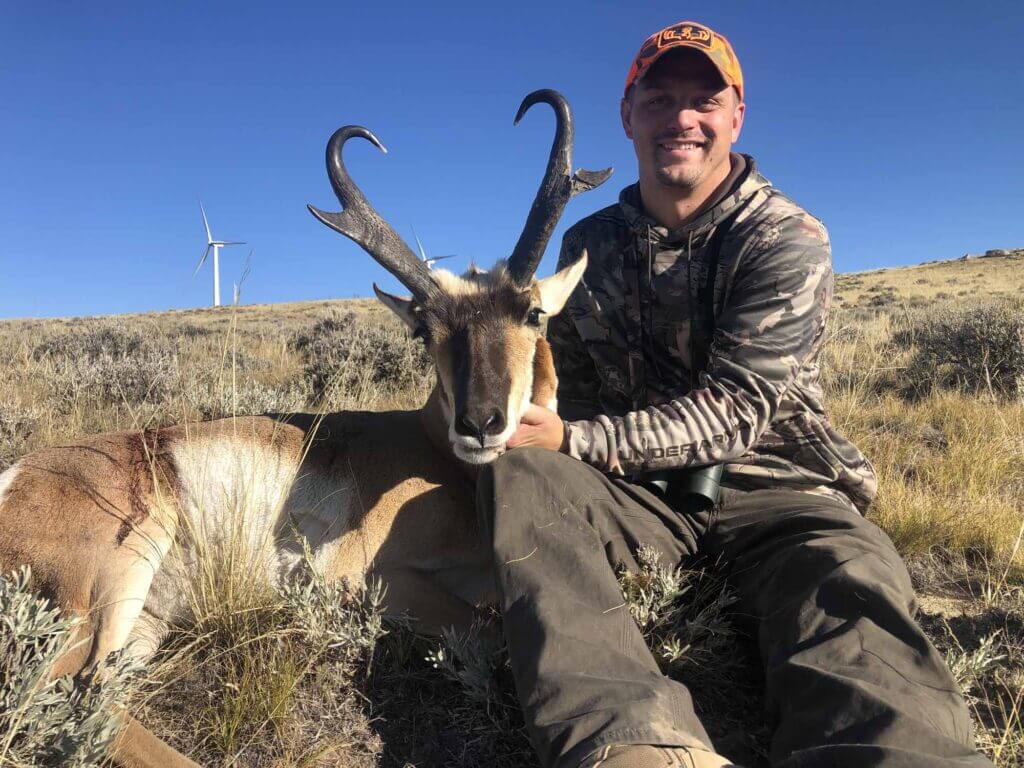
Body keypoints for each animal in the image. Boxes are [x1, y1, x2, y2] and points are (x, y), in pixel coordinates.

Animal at [0, 90, 611, 768]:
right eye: (425, 329)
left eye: (533, 313)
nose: (480, 423)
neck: (433, 453)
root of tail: (16, 474)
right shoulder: (373, 580)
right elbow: (491, 628)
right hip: (114, 578)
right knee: (61, 700)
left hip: (144, 624)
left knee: (99, 707)